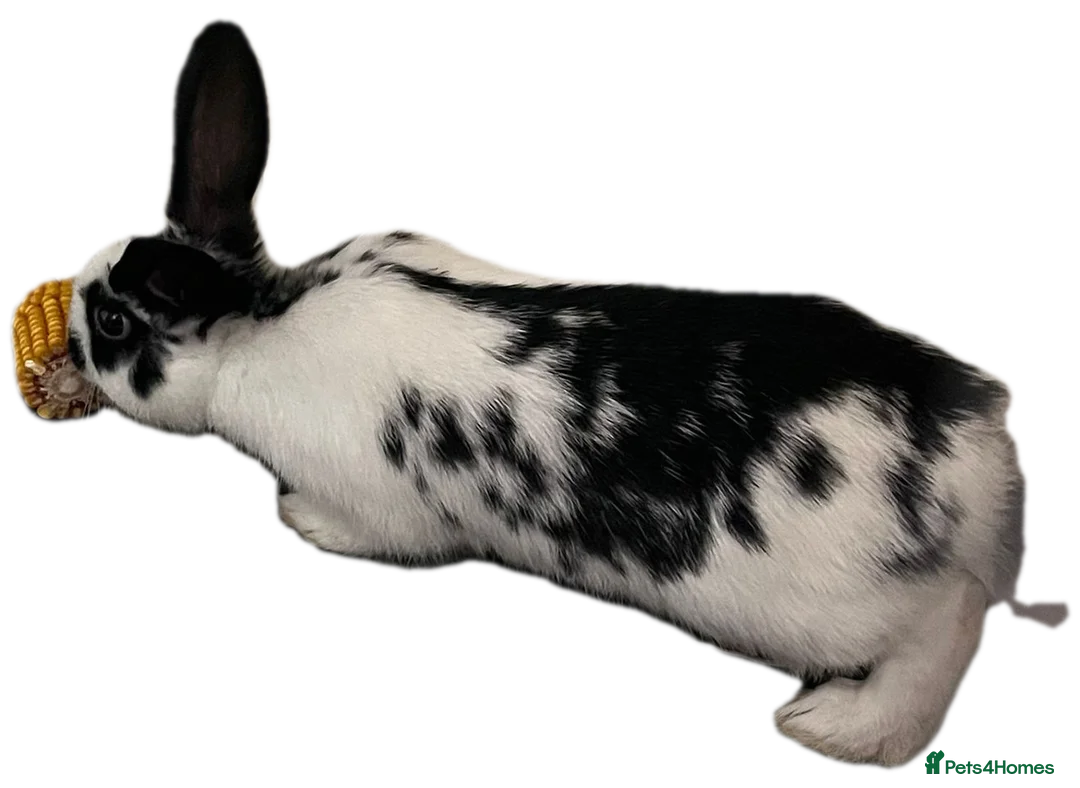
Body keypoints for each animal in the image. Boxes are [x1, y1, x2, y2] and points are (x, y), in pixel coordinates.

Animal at [63, 16, 1070, 769]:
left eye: (111, 324)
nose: (67, 336)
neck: (259, 325)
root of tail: (982, 460)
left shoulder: (383, 504)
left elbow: (382, 534)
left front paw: (302, 522)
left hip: (824, 600)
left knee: (948, 621)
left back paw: (841, 728)